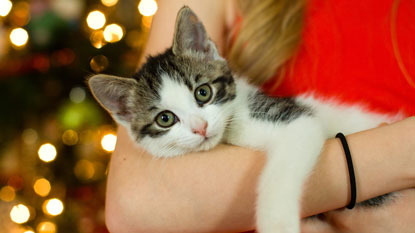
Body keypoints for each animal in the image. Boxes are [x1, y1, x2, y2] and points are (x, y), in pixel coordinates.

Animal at [87, 5, 396, 233]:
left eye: (203, 92)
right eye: (165, 119)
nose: (200, 128)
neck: (232, 129)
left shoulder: (298, 121)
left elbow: (278, 175)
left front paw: (278, 225)